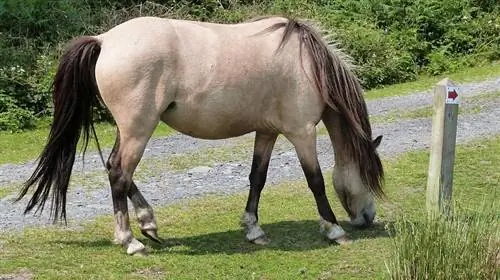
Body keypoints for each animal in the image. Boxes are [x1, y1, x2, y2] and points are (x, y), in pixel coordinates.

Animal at [15, 15, 382, 256]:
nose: (367, 219)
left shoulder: (267, 132)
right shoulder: (302, 132)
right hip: (138, 129)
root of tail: (105, 39)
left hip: (130, 129)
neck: (308, 64)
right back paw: (130, 241)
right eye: (369, 176)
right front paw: (333, 229)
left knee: (115, 169)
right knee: (119, 172)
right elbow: (315, 180)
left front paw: (253, 229)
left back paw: (149, 224)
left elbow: (257, 178)